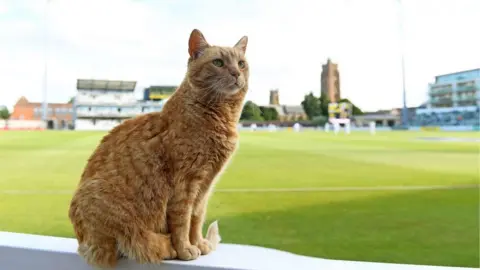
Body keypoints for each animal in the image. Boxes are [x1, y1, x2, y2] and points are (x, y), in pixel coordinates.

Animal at [69, 29, 249, 268]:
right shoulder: (186, 184)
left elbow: (196, 218)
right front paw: (185, 249)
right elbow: (182, 222)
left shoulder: (205, 185)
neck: (218, 117)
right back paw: (167, 249)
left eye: (242, 63)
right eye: (218, 62)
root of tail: (83, 241)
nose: (236, 73)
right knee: (133, 243)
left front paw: (199, 243)